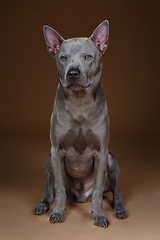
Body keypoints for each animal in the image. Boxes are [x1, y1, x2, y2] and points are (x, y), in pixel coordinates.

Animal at [34, 20, 127, 227]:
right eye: (63, 57)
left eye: (87, 57)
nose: (73, 73)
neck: (80, 103)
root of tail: (81, 195)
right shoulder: (56, 150)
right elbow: (59, 189)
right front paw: (58, 213)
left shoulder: (101, 152)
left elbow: (98, 191)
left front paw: (100, 216)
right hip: (49, 161)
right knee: (50, 189)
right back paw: (43, 205)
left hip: (112, 162)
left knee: (115, 191)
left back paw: (119, 209)